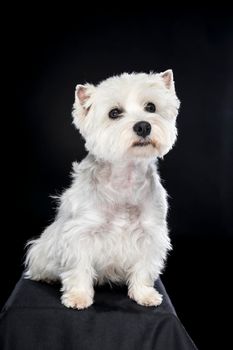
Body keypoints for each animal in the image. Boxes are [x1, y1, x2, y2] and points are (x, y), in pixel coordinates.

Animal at [24, 70, 180, 308]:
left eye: (151, 107)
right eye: (114, 113)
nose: (143, 126)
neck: (125, 177)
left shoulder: (150, 234)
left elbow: (144, 268)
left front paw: (144, 294)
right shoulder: (80, 233)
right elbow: (79, 268)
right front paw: (78, 297)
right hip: (43, 249)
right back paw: (47, 277)